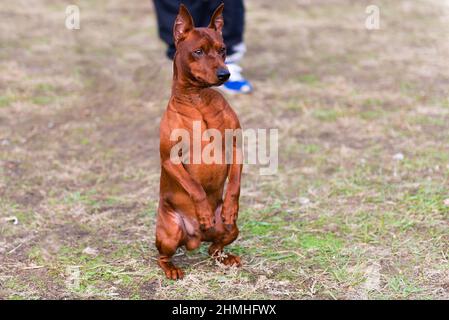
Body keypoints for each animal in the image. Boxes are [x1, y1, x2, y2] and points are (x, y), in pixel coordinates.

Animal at [156, 3, 243, 280]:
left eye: (223, 50)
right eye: (198, 51)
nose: (225, 74)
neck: (198, 100)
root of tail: (195, 239)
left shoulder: (236, 148)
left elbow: (234, 184)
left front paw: (230, 205)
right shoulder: (169, 159)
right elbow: (195, 187)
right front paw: (203, 210)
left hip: (231, 229)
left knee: (214, 248)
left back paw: (225, 257)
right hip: (170, 233)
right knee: (161, 256)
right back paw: (172, 269)